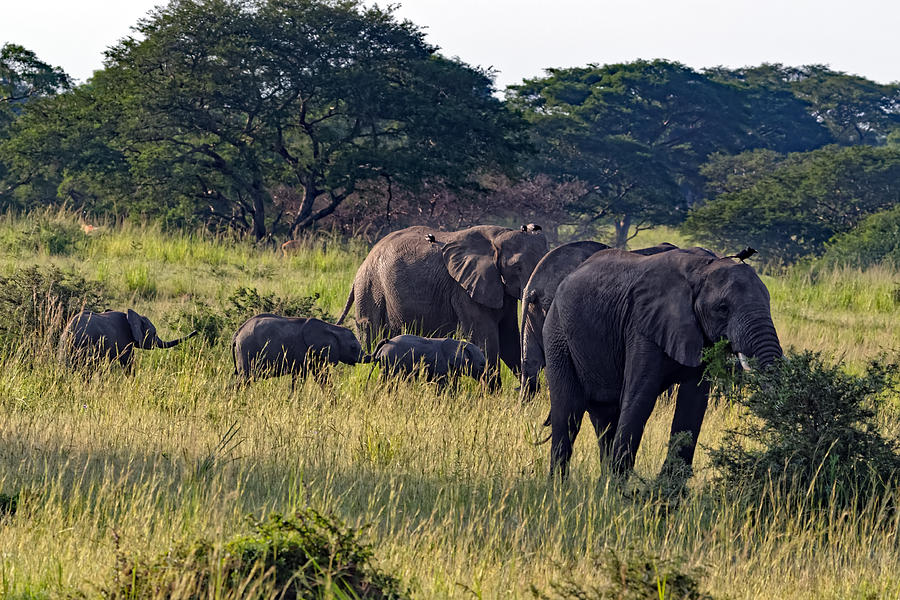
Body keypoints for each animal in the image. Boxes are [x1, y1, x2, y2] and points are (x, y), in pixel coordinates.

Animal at [232, 312, 366, 386]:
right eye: (353, 347)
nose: (369, 357)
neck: (331, 328)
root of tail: (237, 333)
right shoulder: (304, 352)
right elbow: (300, 378)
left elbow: (322, 377)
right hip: (246, 350)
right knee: (244, 379)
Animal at [340, 224, 544, 384]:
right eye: (517, 267)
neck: (498, 236)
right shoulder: (463, 288)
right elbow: (486, 339)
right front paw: (492, 397)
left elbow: (509, 337)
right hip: (370, 288)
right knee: (371, 331)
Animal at [540, 247, 780, 478]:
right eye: (722, 308)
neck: (703, 268)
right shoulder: (641, 326)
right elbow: (640, 397)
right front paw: (620, 489)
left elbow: (693, 402)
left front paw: (669, 489)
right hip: (557, 334)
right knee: (568, 412)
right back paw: (559, 486)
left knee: (605, 418)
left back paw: (602, 484)